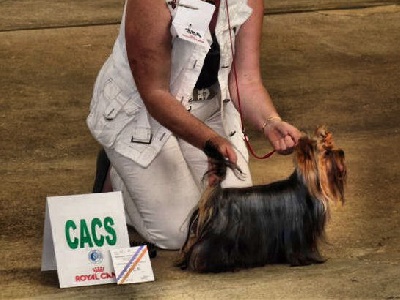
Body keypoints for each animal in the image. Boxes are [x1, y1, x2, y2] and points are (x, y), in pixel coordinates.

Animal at [176, 125, 346, 274]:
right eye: (327, 153)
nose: (342, 152)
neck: (306, 187)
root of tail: (218, 194)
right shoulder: (300, 232)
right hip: (220, 234)